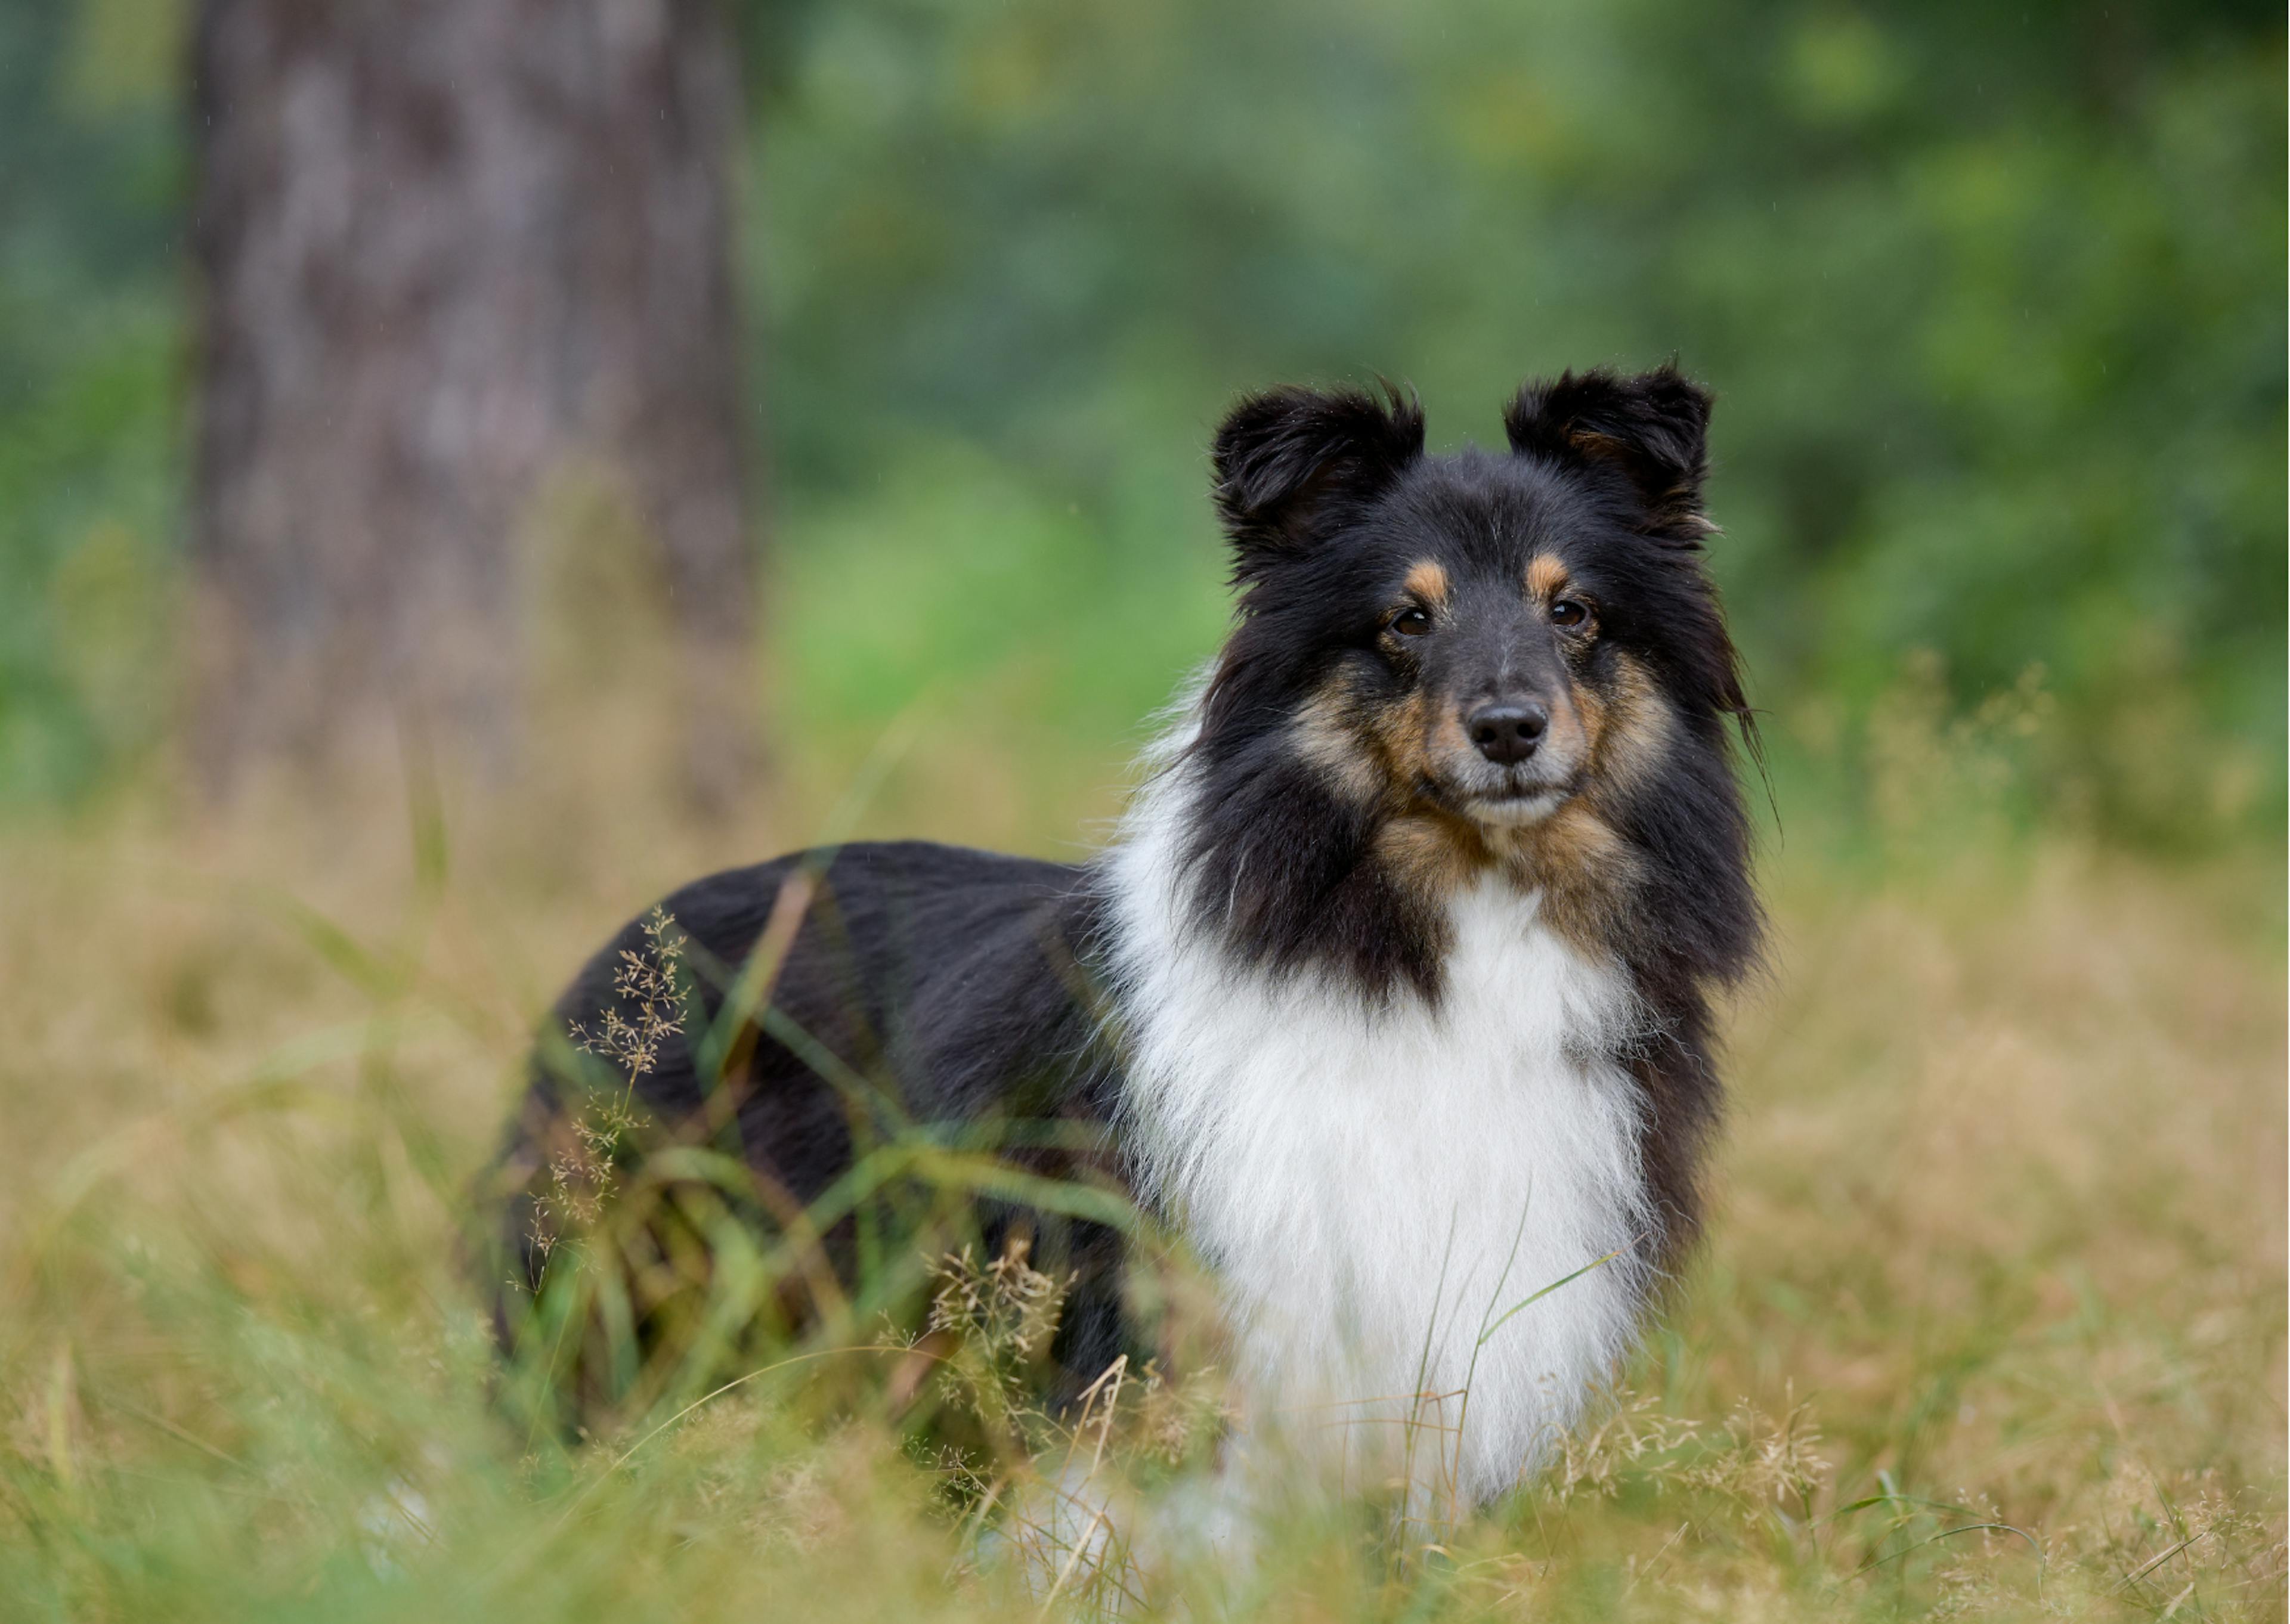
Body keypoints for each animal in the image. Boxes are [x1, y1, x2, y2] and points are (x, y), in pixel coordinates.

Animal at [492, 364, 1759, 1511]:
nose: (1509, 728)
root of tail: (628, 947)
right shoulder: (1168, 1315)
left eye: (1574, 610)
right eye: (1407, 618)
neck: (1443, 921)